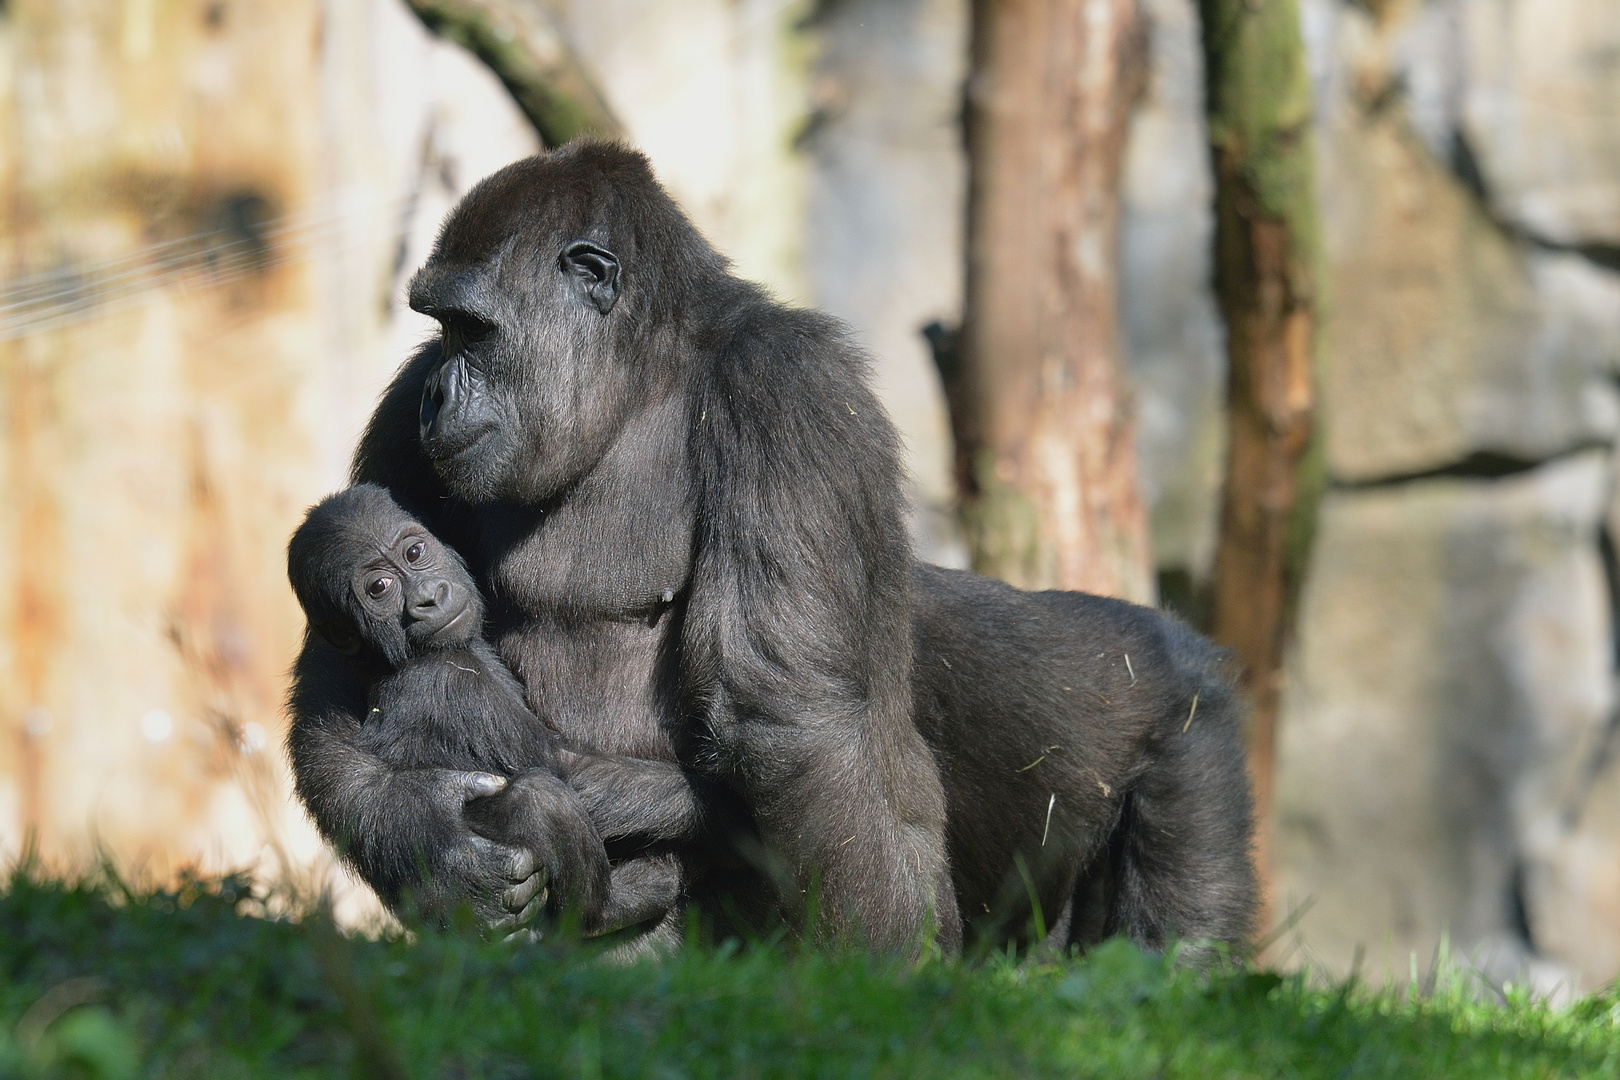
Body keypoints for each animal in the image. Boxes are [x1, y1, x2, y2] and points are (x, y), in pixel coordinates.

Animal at [285, 485, 677, 932]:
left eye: (414, 553)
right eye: (379, 587)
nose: (427, 597)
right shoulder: (451, 683)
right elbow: (561, 763)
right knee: (541, 798)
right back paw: (613, 906)